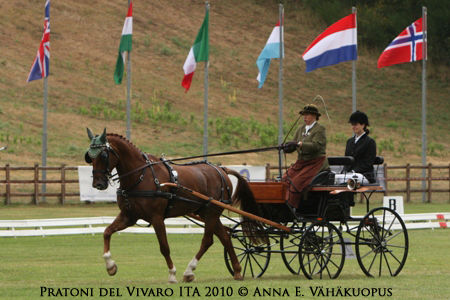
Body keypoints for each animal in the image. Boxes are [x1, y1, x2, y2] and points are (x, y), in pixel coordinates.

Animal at [84, 129, 264, 284]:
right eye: (89, 157)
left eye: (104, 155)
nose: (98, 184)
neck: (140, 176)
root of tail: (221, 169)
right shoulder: (129, 216)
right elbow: (107, 232)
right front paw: (110, 266)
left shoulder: (157, 218)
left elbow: (164, 247)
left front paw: (172, 274)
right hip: (207, 212)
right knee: (225, 237)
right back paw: (237, 271)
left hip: (211, 213)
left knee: (207, 240)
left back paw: (189, 271)